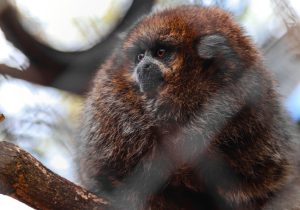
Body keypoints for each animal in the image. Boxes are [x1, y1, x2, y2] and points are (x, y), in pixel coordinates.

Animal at [77, 5, 300, 210]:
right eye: (140, 56)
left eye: (161, 53)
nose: (143, 66)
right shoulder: (111, 109)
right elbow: (105, 174)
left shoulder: (255, 114)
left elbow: (264, 184)